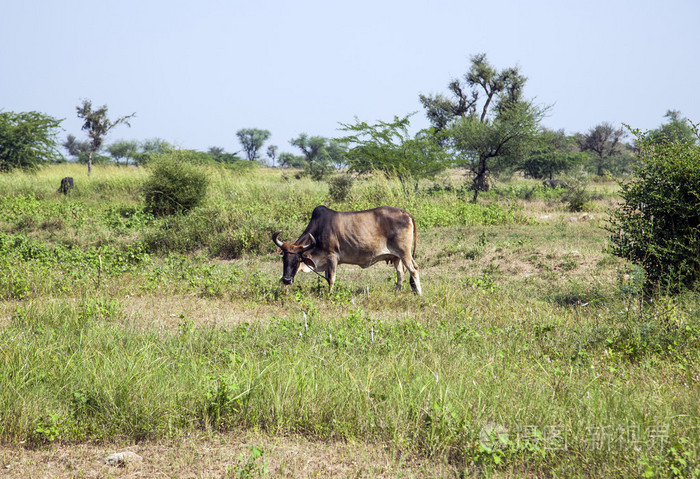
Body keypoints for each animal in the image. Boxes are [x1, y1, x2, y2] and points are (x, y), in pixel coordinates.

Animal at [274, 206, 422, 296]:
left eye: (298, 259)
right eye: (284, 259)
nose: (286, 280)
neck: (318, 231)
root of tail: (406, 214)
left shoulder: (332, 257)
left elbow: (331, 279)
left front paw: (330, 295)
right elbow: (328, 278)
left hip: (404, 253)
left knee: (413, 270)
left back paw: (419, 293)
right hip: (396, 257)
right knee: (400, 273)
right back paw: (397, 292)